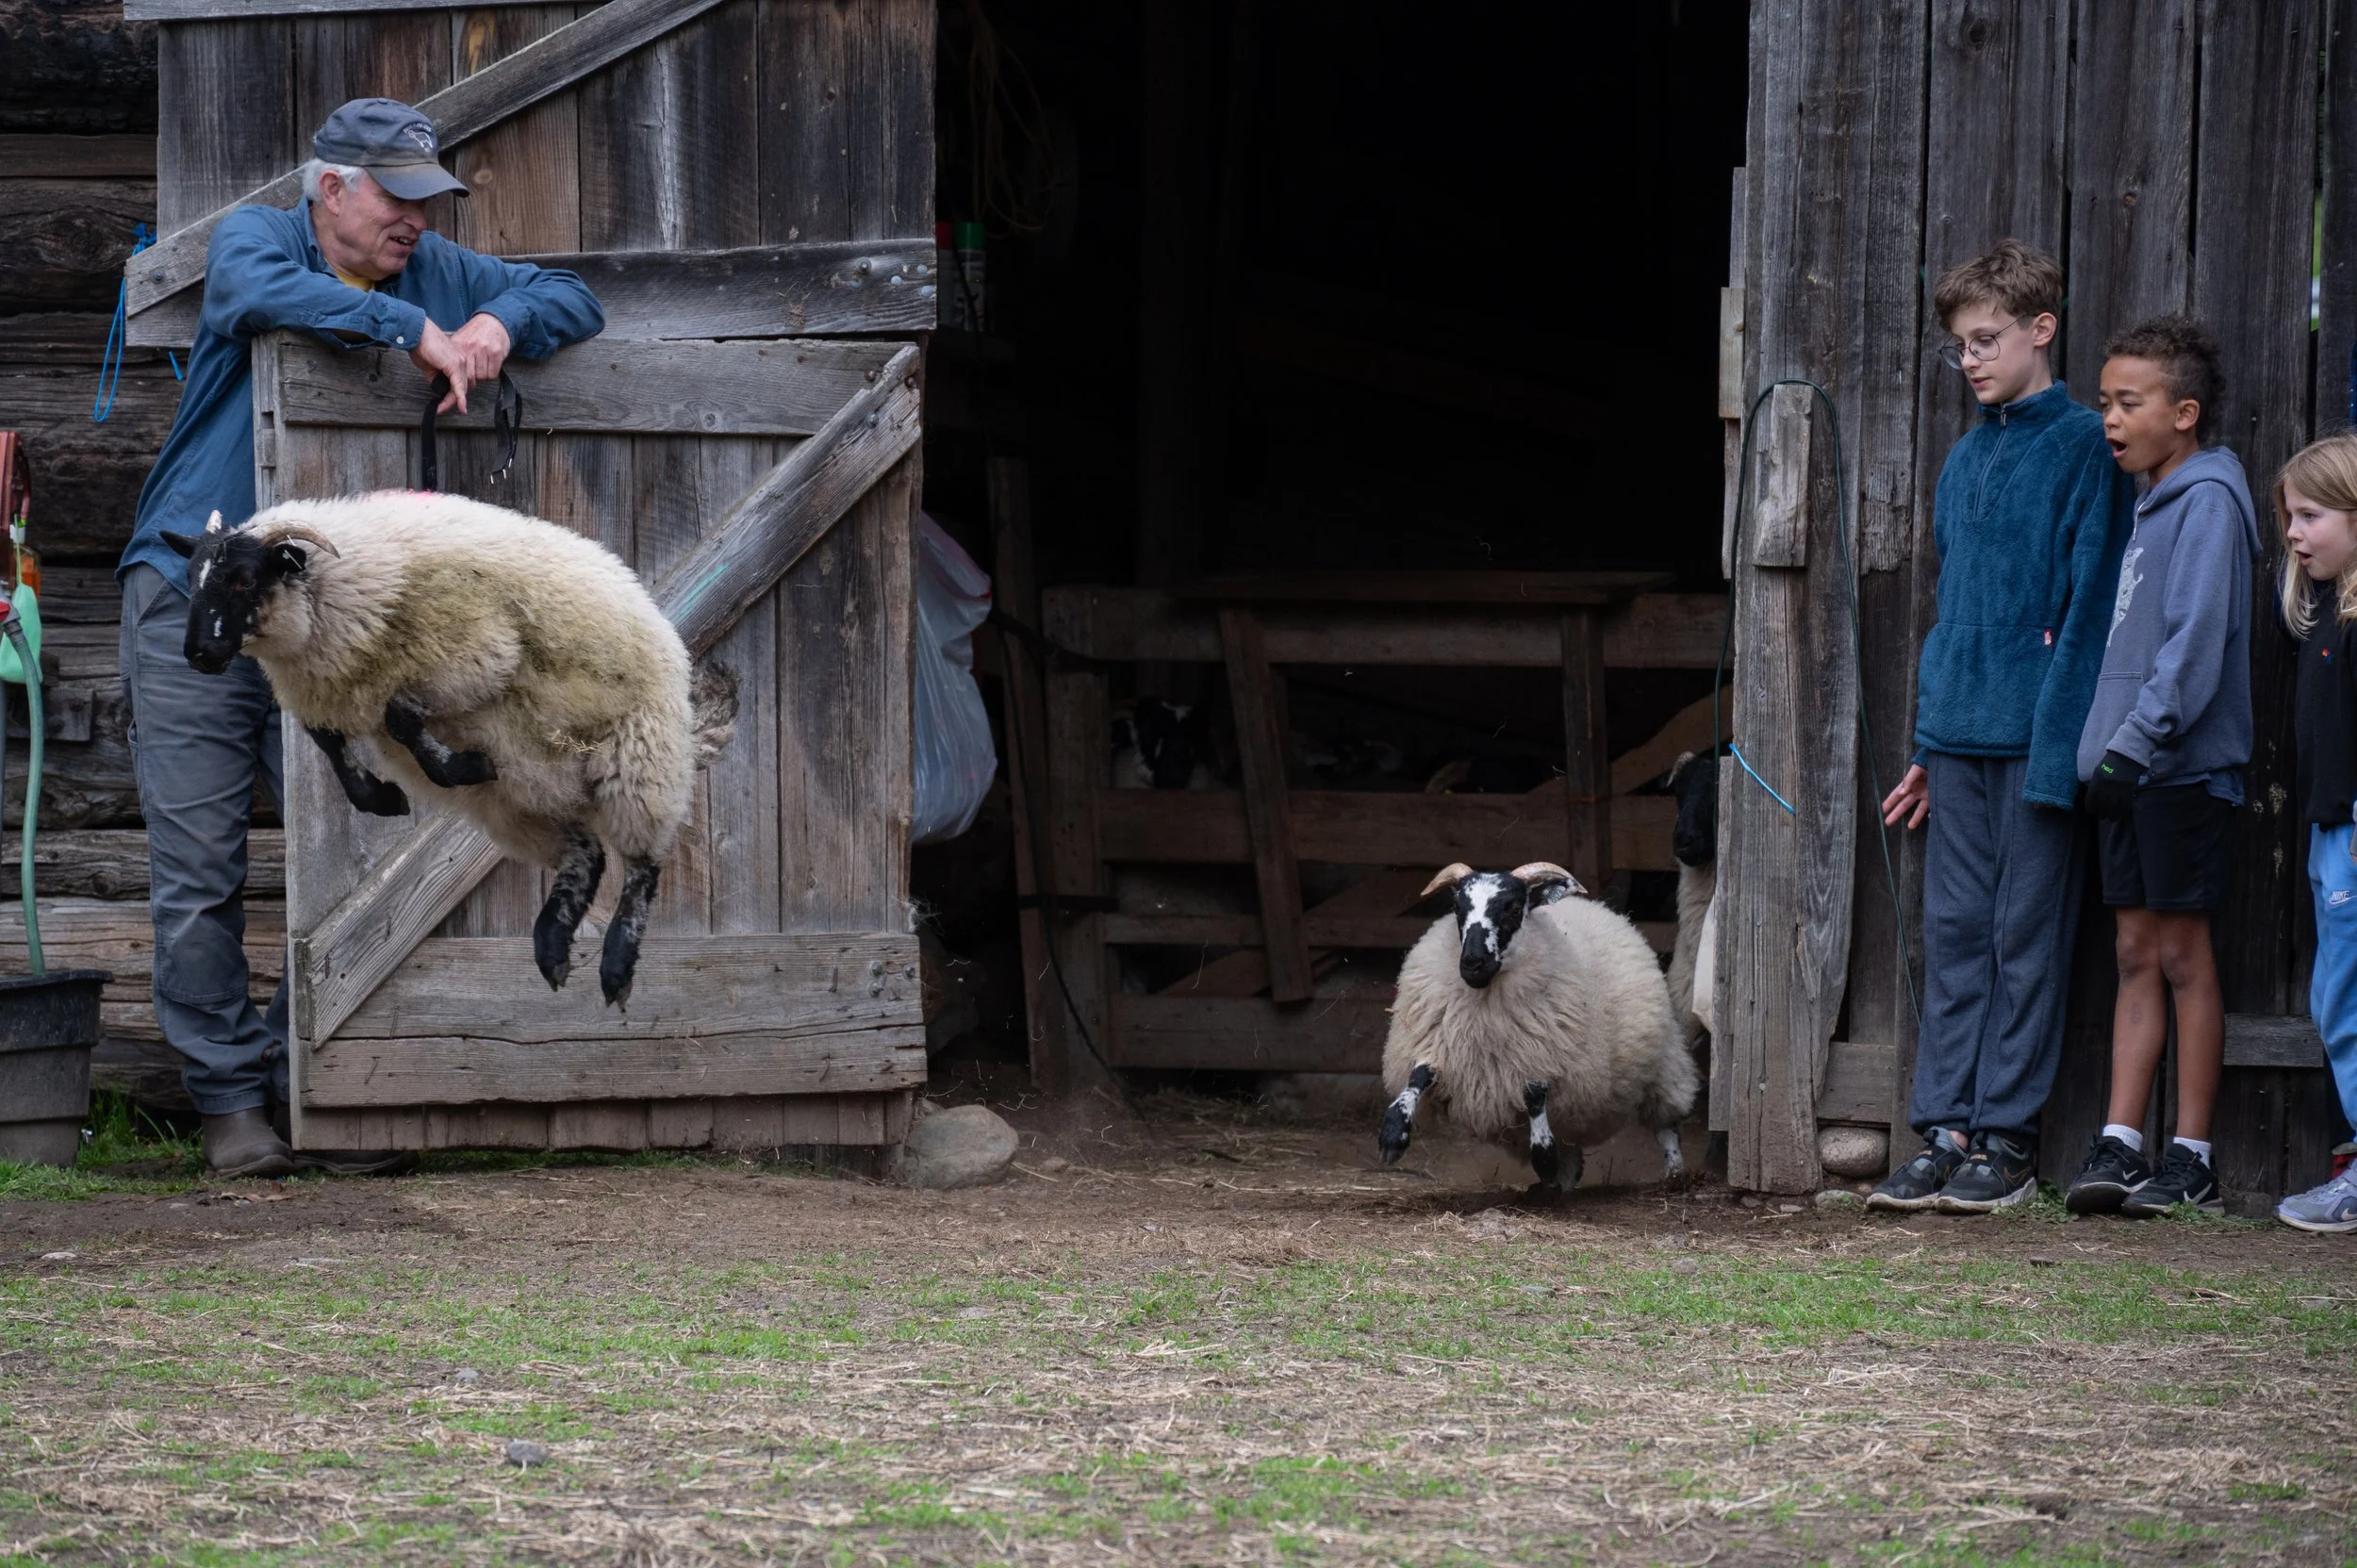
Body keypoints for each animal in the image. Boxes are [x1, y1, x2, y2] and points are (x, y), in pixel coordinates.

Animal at [163, 495, 738, 1009]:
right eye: (191, 579)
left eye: (243, 579)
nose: (199, 654)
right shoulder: (335, 693)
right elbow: (334, 744)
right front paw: (383, 796)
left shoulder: (480, 657)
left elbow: (400, 717)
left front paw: (464, 766)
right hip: (523, 802)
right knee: (586, 857)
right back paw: (552, 947)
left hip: (637, 759)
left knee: (641, 867)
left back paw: (616, 969)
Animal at [1379, 861, 1696, 1191]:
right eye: (1457, 907)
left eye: (1514, 908)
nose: (1472, 963)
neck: (1485, 1007)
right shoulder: (1438, 1042)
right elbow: (1419, 1075)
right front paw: (1393, 1134)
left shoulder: (1545, 1053)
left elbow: (1533, 1093)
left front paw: (1543, 1153)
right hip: (1573, 1114)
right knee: (1572, 1156)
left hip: (1662, 1064)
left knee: (1666, 1123)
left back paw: (1675, 1173)